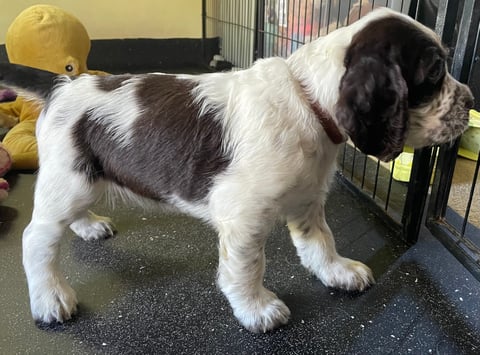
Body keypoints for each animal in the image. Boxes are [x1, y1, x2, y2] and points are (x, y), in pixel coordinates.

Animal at [0, 6, 472, 334]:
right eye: (434, 71)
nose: (468, 101)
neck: (307, 102)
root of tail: (63, 84)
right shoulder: (244, 216)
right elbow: (247, 267)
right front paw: (257, 309)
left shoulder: (308, 201)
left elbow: (321, 243)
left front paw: (338, 272)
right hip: (68, 179)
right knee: (36, 240)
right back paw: (50, 299)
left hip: (81, 178)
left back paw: (89, 226)